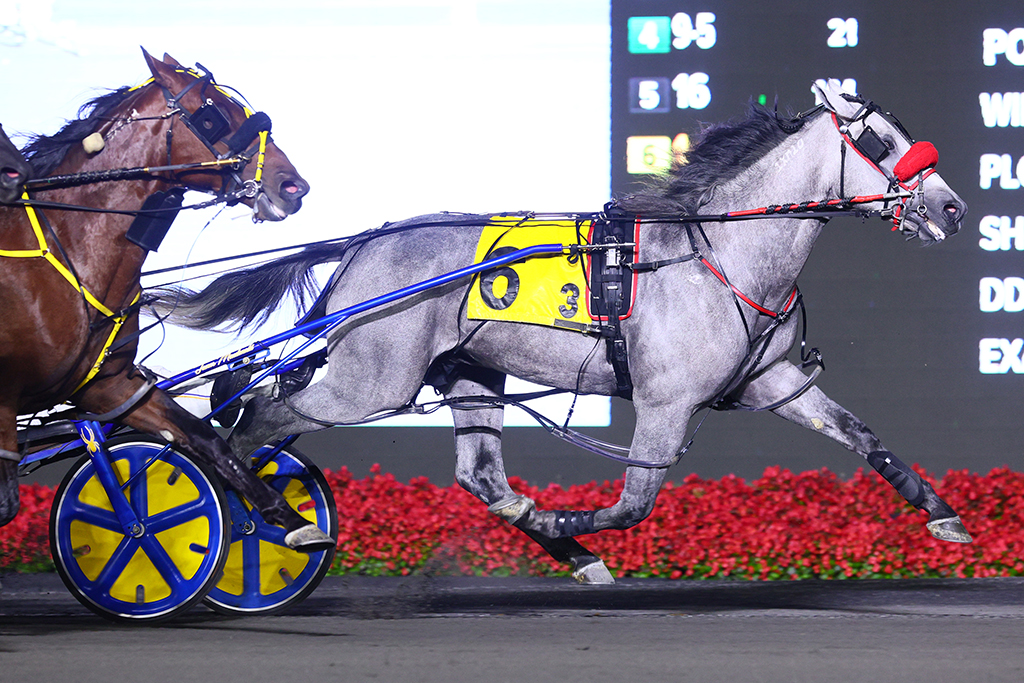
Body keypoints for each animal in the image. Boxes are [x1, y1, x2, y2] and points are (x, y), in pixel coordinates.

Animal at [0, 52, 331, 557]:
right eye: (211, 113)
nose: (293, 186)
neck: (68, 251)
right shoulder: (5, 397)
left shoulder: (111, 387)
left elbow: (203, 438)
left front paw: (292, 519)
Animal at [155, 80, 970, 581]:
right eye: (881, 141)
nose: (952, 207)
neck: (717, 252)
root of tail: (366, 242)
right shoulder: (667, 402)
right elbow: (634, 502)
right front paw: (565, 516)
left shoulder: (772, 382)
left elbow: (862, 434)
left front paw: (942, 516)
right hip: (370, 378)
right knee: (258, 413)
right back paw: (265, 509)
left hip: (469, 372)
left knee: (480, 475)